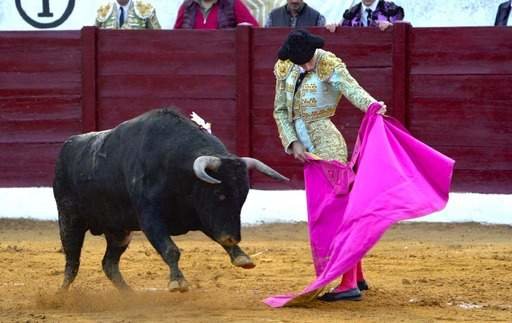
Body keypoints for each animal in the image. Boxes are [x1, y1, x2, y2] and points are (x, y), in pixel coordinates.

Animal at [55, 109, 292, 294]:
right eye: (219, 194)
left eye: (242, 197)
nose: (232, 237)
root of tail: (67, 146)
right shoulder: (150, 218)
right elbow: (170, 249)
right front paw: (178, 282)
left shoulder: (199, 214)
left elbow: (211, 233)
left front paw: (241, 257)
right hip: (69, 219)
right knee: (72, 261)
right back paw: (62, 295)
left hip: (119, 231)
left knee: (109, 264)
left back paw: (129, 295)